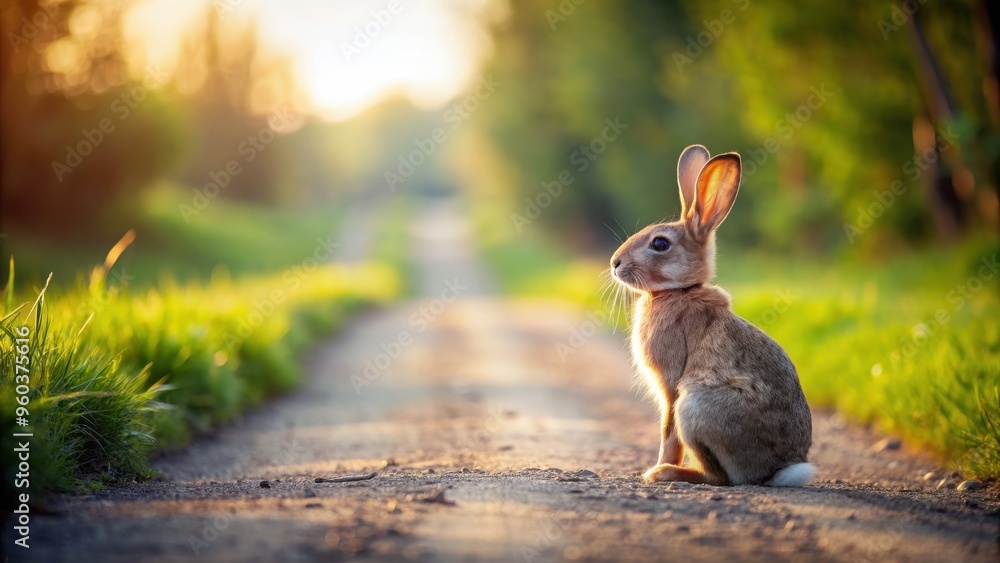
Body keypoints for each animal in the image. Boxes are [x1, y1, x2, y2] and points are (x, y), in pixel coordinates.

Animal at [609, 144, 815, 487]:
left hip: (695, 407)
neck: (678, 291)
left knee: (718, 476)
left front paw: (654, 469)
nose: (615, 263)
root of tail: (772, 470)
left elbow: (668, 434)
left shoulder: (671, 384)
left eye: (660, 244)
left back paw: (667, 473)